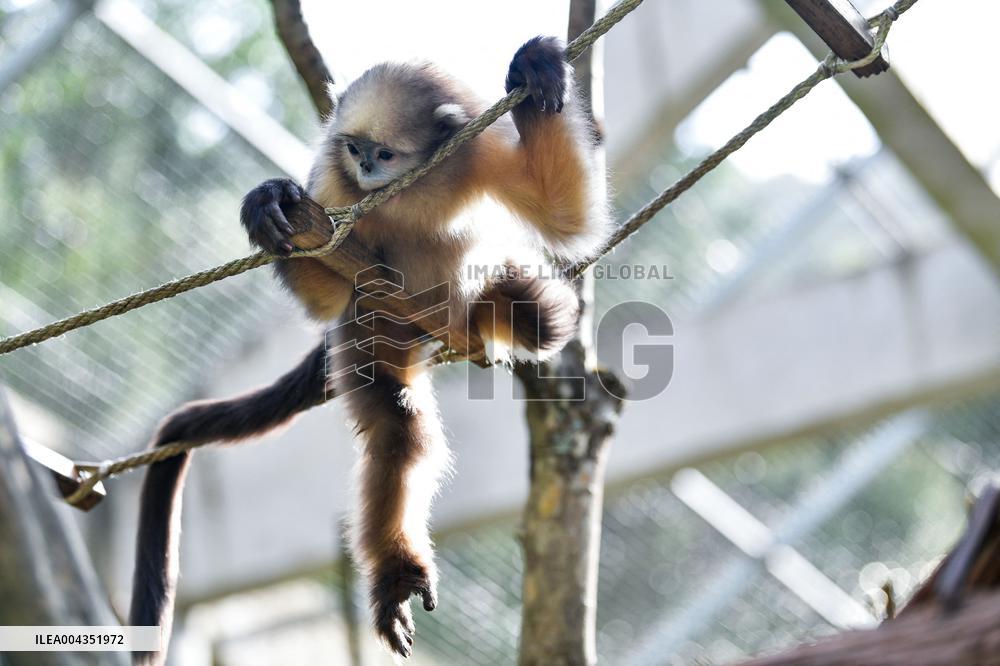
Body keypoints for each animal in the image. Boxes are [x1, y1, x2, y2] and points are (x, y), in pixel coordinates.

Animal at [130, 36, 608, 662]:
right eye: (355, 149)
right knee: (397, 424)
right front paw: (267, 204)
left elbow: (566, 219)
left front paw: (536, 68)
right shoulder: (332, 187)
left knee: (542, 315)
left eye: (384, 153)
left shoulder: (475, 152)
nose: (363, 167)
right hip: (369, 328)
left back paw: (488, 318)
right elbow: (325, 293)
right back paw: (398, 576)